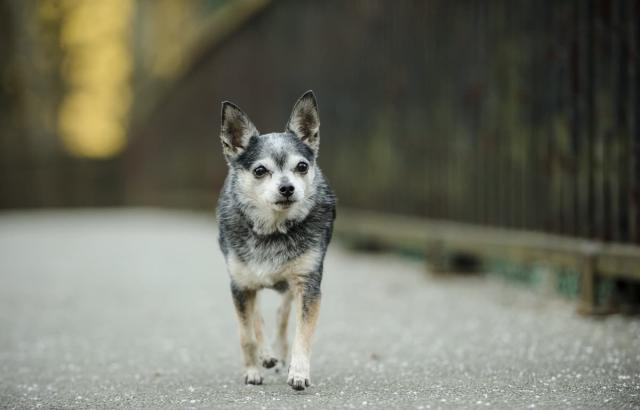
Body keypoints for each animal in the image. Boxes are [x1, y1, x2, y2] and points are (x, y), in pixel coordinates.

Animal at [216, 90, 336, 390]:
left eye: (302, 166)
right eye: (260, 171)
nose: (287, 187)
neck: (273, 229)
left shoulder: (308, 285)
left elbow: (302, 334)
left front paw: (299, 372)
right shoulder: (240, 285)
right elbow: (246, 333)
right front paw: (252, 370)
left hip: (290, 284)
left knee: (281, 315)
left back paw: (278, 354)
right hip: (248, 282)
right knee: (257, 315)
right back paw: (266, 356)